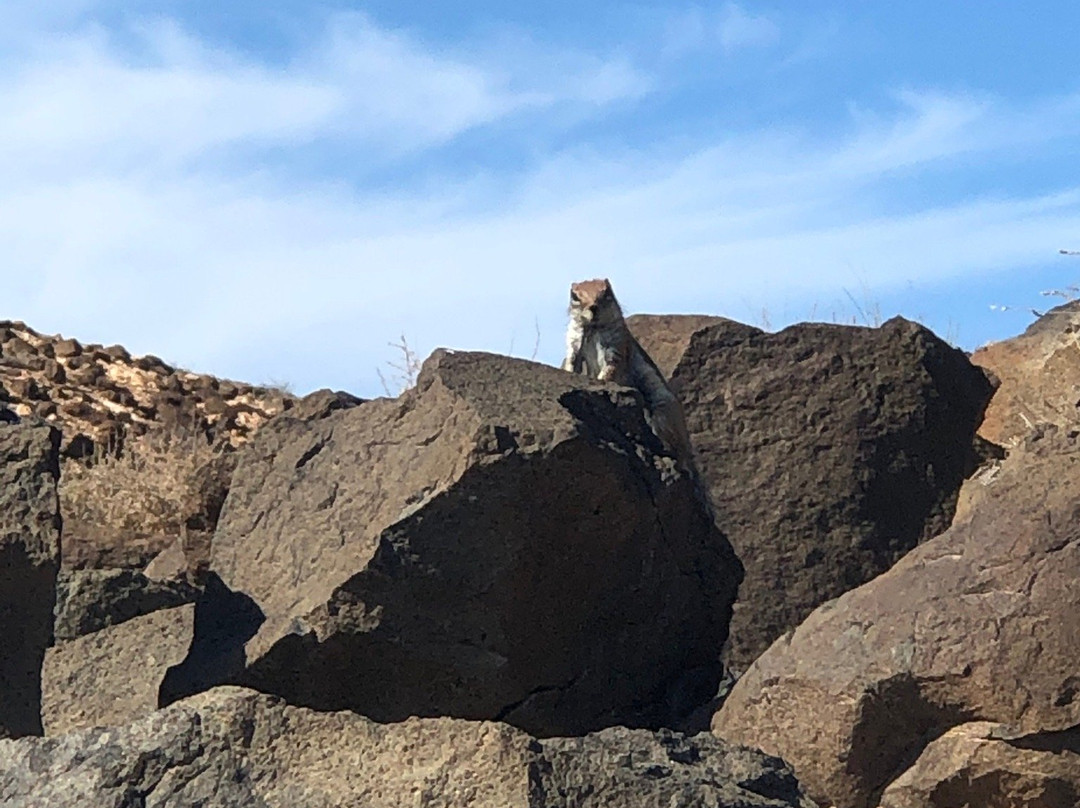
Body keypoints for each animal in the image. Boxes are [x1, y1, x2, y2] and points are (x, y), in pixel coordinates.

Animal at [561, 280, 695, 477]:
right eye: (575, 296)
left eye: (606, 293)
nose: (593, 307)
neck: (593, 328)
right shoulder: (573, 340)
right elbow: (571, 363)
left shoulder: (616, 347)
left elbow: (610, 369)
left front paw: (602, 380)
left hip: (661, 411)